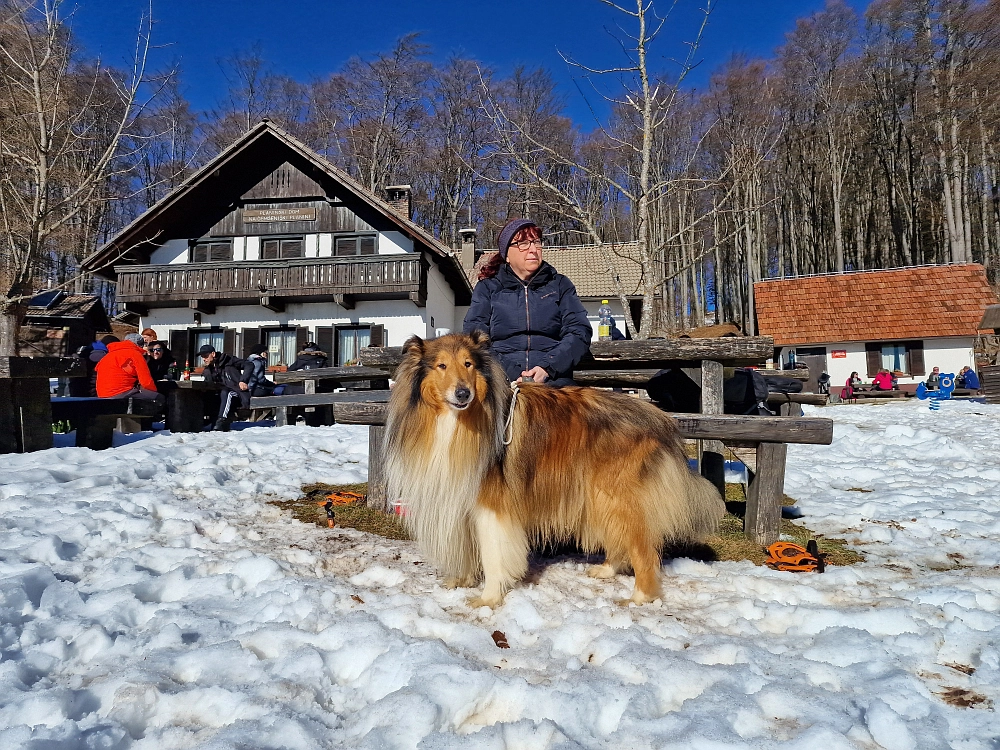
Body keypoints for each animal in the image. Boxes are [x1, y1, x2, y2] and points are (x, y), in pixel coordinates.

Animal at [384, 332, 728, 608]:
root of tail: (659, 417)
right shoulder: (461, 495)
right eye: (441, 366)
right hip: (599, 496)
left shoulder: (493, 505)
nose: (463, 394)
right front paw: (461, 582)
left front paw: (489, 599)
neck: (455, 421)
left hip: (618, 495)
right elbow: (468, 546)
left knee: (643, 547)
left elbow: (494, 555)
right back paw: (607, 570)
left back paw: (640, 597)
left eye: (468, 364)